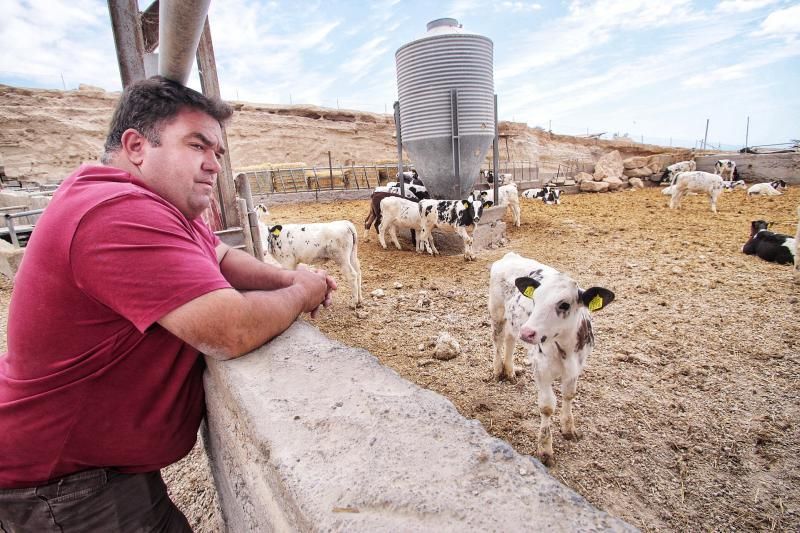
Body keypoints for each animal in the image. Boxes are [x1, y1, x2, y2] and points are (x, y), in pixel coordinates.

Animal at [488, 251, 612, 464]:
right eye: (534, 300)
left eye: (564, 304)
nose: (528, 332)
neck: (566, 350)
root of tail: (511, 255)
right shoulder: (541, 369)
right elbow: (546, 407)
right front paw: (545, 449)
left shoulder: (576, 367)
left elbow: (569, 395)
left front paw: (569, 428)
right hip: (497, 311)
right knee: (498, 339)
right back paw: (498, 370)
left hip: (514, 322)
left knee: (510, 340)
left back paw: (510, 371)